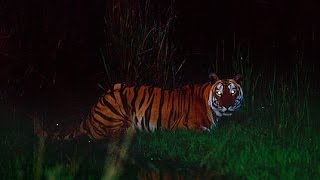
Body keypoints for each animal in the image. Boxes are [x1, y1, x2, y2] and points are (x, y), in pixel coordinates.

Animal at [33, 73, 242, 141]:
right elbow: (210, 131)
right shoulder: (186, 127)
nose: (227, 106)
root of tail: (89, 116)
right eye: (220, 93)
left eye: (233, 92)